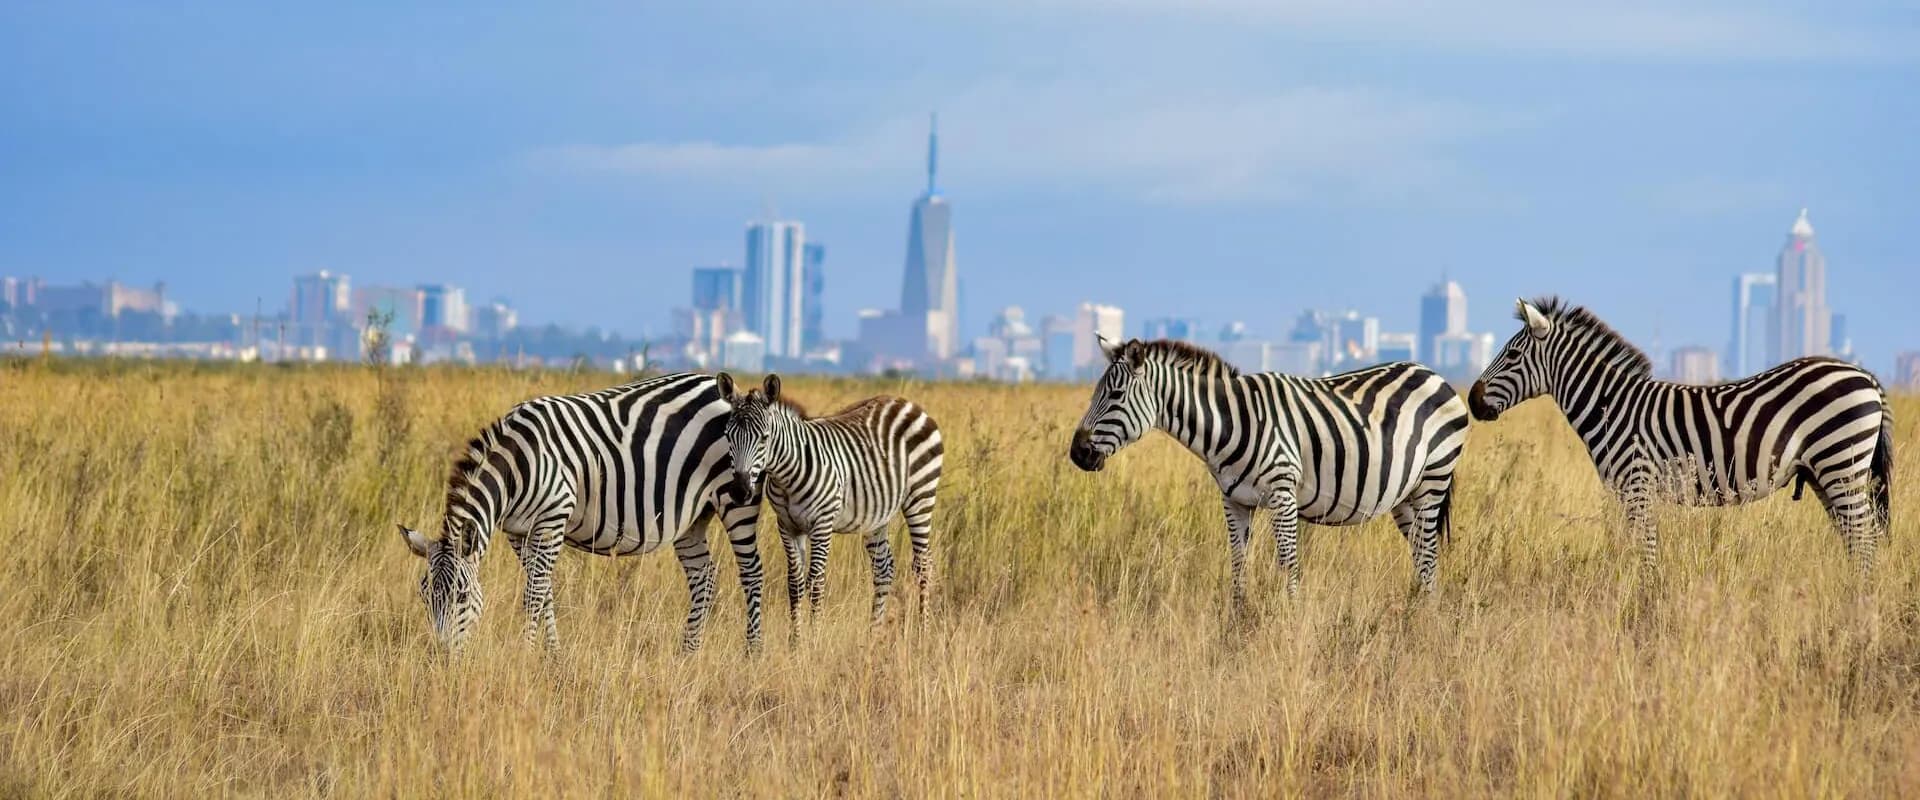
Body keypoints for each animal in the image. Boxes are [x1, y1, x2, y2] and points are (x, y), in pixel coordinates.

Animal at [396, 372, 766, 654]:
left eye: (461, 595)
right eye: (424, 595)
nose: (443, 656)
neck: (516, 467)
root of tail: (718, 387)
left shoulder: (552, 518)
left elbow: (534, 593)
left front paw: (526, 654)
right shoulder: (518, 532)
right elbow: (544, 592)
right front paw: (553, 654)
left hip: (736, 498)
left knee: (751, 572)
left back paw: (752, 653)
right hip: (692, 516)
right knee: (704, 575)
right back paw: (688, 652)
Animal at [717, 372, 943, 637]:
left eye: (764, 437)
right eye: (728, 436)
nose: (740, 492)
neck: (787, 475)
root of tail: (907, 402)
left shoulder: (822, 524)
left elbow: (816, 582)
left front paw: (814, 638)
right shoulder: (787, 526)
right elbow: (794, 583)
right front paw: (795, 640)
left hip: (921, 496)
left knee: (923, 565)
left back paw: (923, 632)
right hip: (877, 513)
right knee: (883, 568)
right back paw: (874, 634)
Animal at [1068, 338, 1472, 602]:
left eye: (1115, 396)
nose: (1077, 453)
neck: (1229, 423)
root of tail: (1433, 374)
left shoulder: (1283, 494)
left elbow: (1288, 565)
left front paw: (1290, 623)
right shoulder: (1234, 501)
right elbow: (1237, 565)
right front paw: (1237, 623)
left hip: (1434, 479)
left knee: (1429, 555)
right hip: (1405, 496)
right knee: (1421, 556)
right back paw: (1418, 613)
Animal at [1469, 297, 1894, 574]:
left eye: (1511, 355)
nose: (1473, 400)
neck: (1612, 406)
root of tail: (1866, 375)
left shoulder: (1637, 486)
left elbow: (1646, 552)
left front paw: (1646, 602)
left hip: (1840, 463)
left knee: (1865, 539)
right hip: (1827, 473)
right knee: (1856, 539)